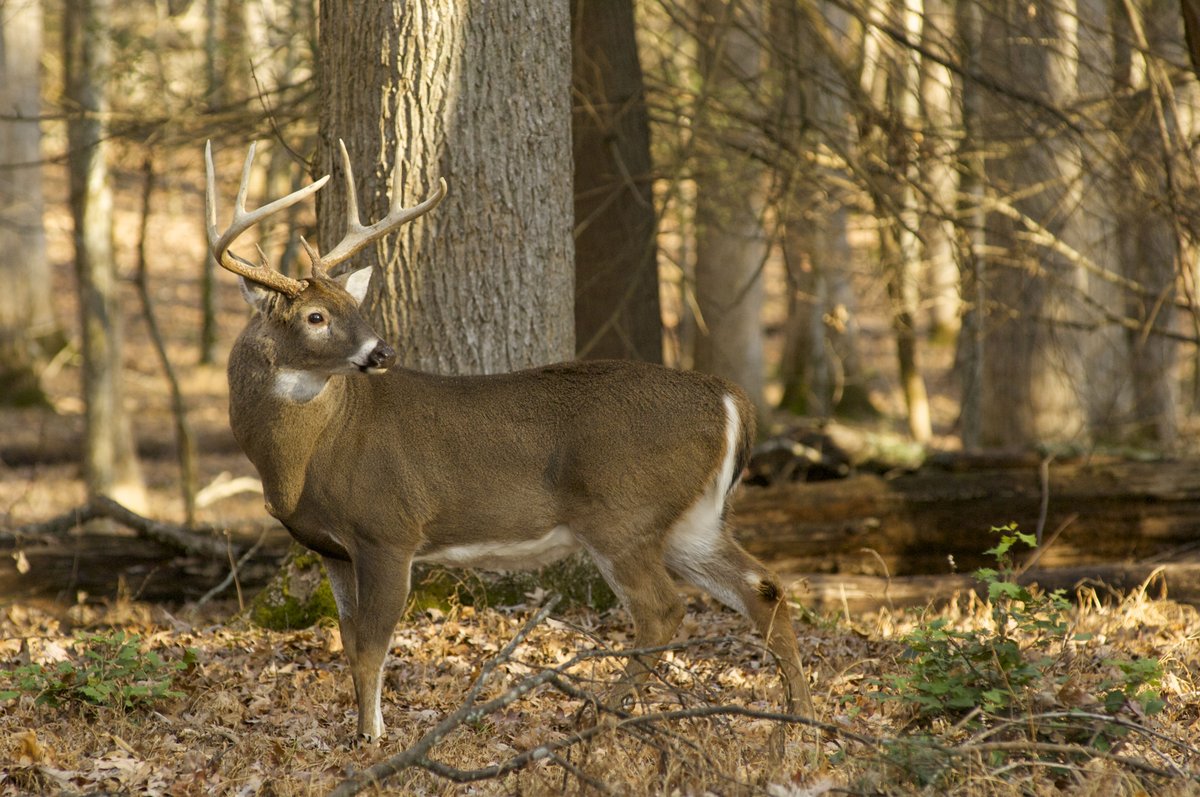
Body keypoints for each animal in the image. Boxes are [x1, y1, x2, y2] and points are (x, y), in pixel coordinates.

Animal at [205, 139, 813, 743]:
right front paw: (362, 729)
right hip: (692, 519)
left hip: (624, 513)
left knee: (663, 610)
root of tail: (729, 397)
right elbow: (349, 638)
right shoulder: (331, 547)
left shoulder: (389, 529)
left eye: (355, 308)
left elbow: (373, 645)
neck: (303, 459)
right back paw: (800, 722)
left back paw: (599, 716)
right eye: (315, 316)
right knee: (764, 587)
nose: (383, 352)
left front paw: (372, 737)